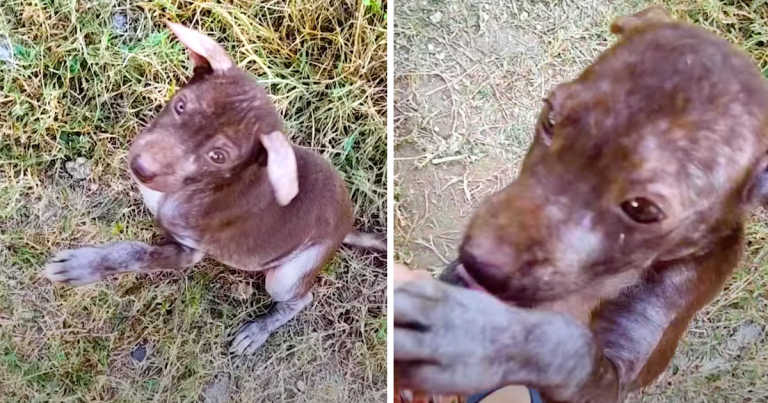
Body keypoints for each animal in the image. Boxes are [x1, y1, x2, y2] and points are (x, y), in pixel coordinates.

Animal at [43, 22, 382, 356]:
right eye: (181, 106)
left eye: (218, 156)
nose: (141, 168)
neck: (191, 188)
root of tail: (346, 225)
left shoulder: (187, 253)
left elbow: (135, 253)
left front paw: (84, 265)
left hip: (287, 275)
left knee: (300, 299)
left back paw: (258, 331)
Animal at [396, 7, 768, 403]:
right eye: (550, 120)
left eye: (642, 209)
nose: (478, 262)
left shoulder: (618, 371)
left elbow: (571, 349)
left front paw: (479, 335)